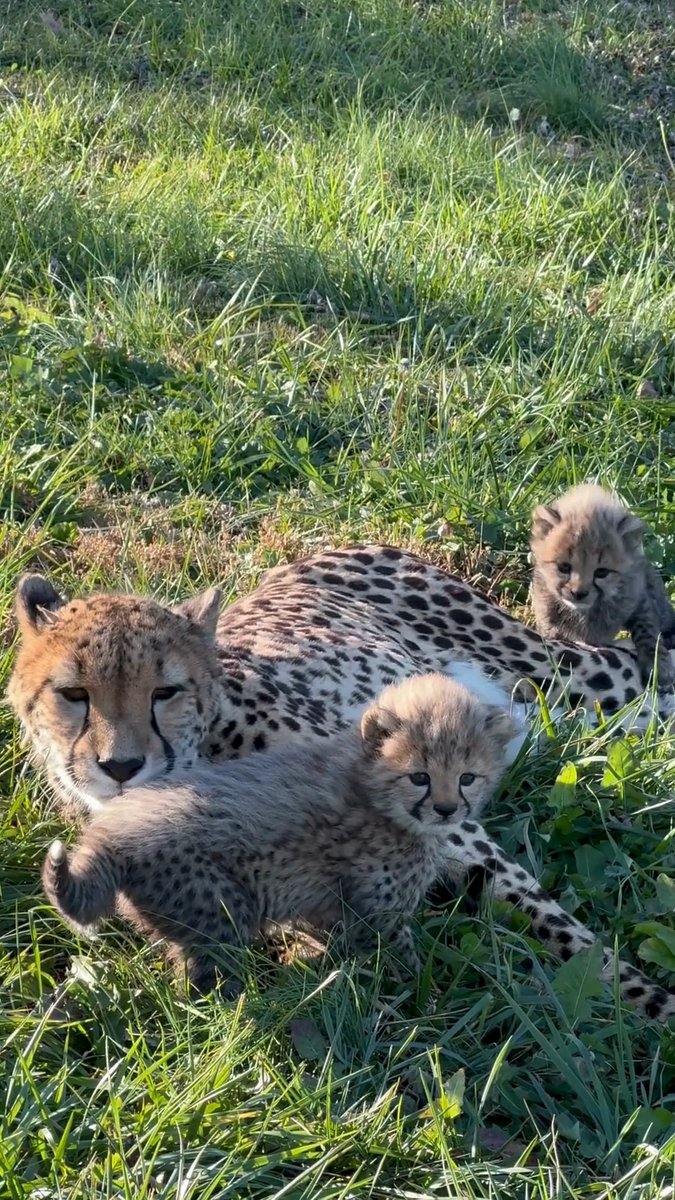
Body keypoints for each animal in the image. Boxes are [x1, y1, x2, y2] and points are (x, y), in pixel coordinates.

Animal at [8, 543, 675, 817]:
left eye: (164, 692)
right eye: (74, 695)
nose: (121, 767)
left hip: (558, 670)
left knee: (632, 672)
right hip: (543, 714)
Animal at [42, 672, 675, 1021]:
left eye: (467, 777)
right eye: (419, 776)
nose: (448, 809)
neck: (374, 791)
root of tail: (109, 834)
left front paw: (319, 966)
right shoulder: (377, 908)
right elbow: (402, 957)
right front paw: (419, 996)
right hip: (220, 907)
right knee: (203, 975)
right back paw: (241, 1012)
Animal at [531, 484, 675, 693]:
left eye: (601, 572)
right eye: (564, 567)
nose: (578, 593)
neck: (583, 612)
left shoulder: (638, 599)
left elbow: (647, 631)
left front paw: (658, 666)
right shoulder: (549, 622)